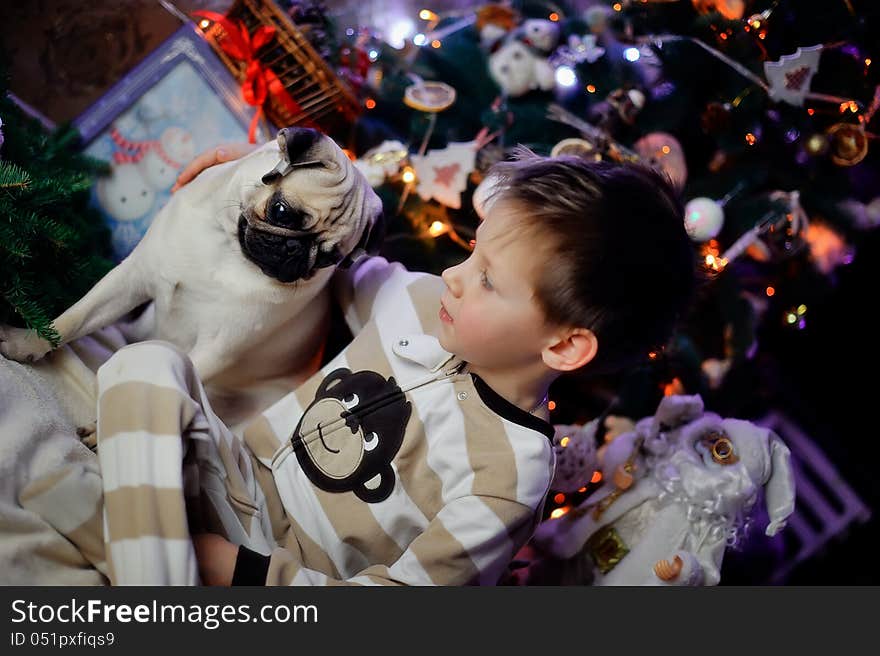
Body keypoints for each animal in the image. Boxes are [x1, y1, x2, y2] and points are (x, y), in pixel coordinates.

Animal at [0, 127, 384, 426]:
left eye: (330, 258)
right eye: (281, 211)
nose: (294, 252)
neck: (229, 251)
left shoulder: (220, 347)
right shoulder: (129, 279)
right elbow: (71, 319)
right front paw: (27, 343)